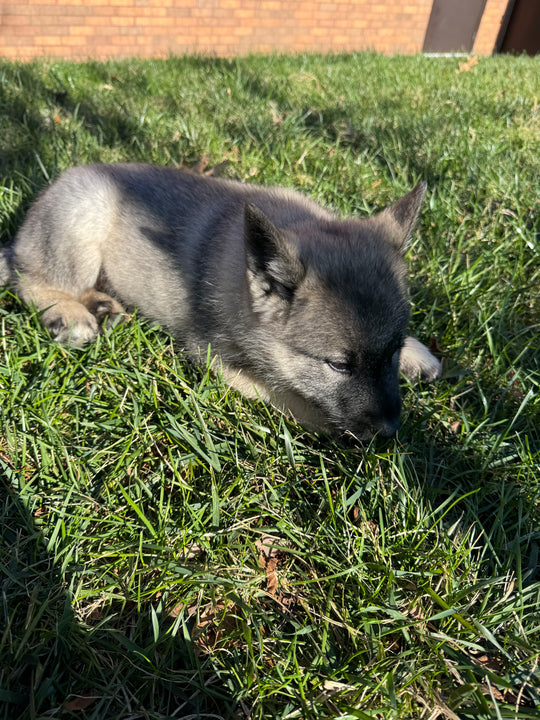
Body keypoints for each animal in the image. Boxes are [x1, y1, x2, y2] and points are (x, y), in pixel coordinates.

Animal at [0, 165, 438, 438]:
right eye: (339, 366)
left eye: (393, 351)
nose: (389, 433)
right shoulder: (214, 357)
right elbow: (288, 397)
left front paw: (417, 352)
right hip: (82, 222)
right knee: (29, 278)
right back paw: (68, 314)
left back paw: (105, 308)